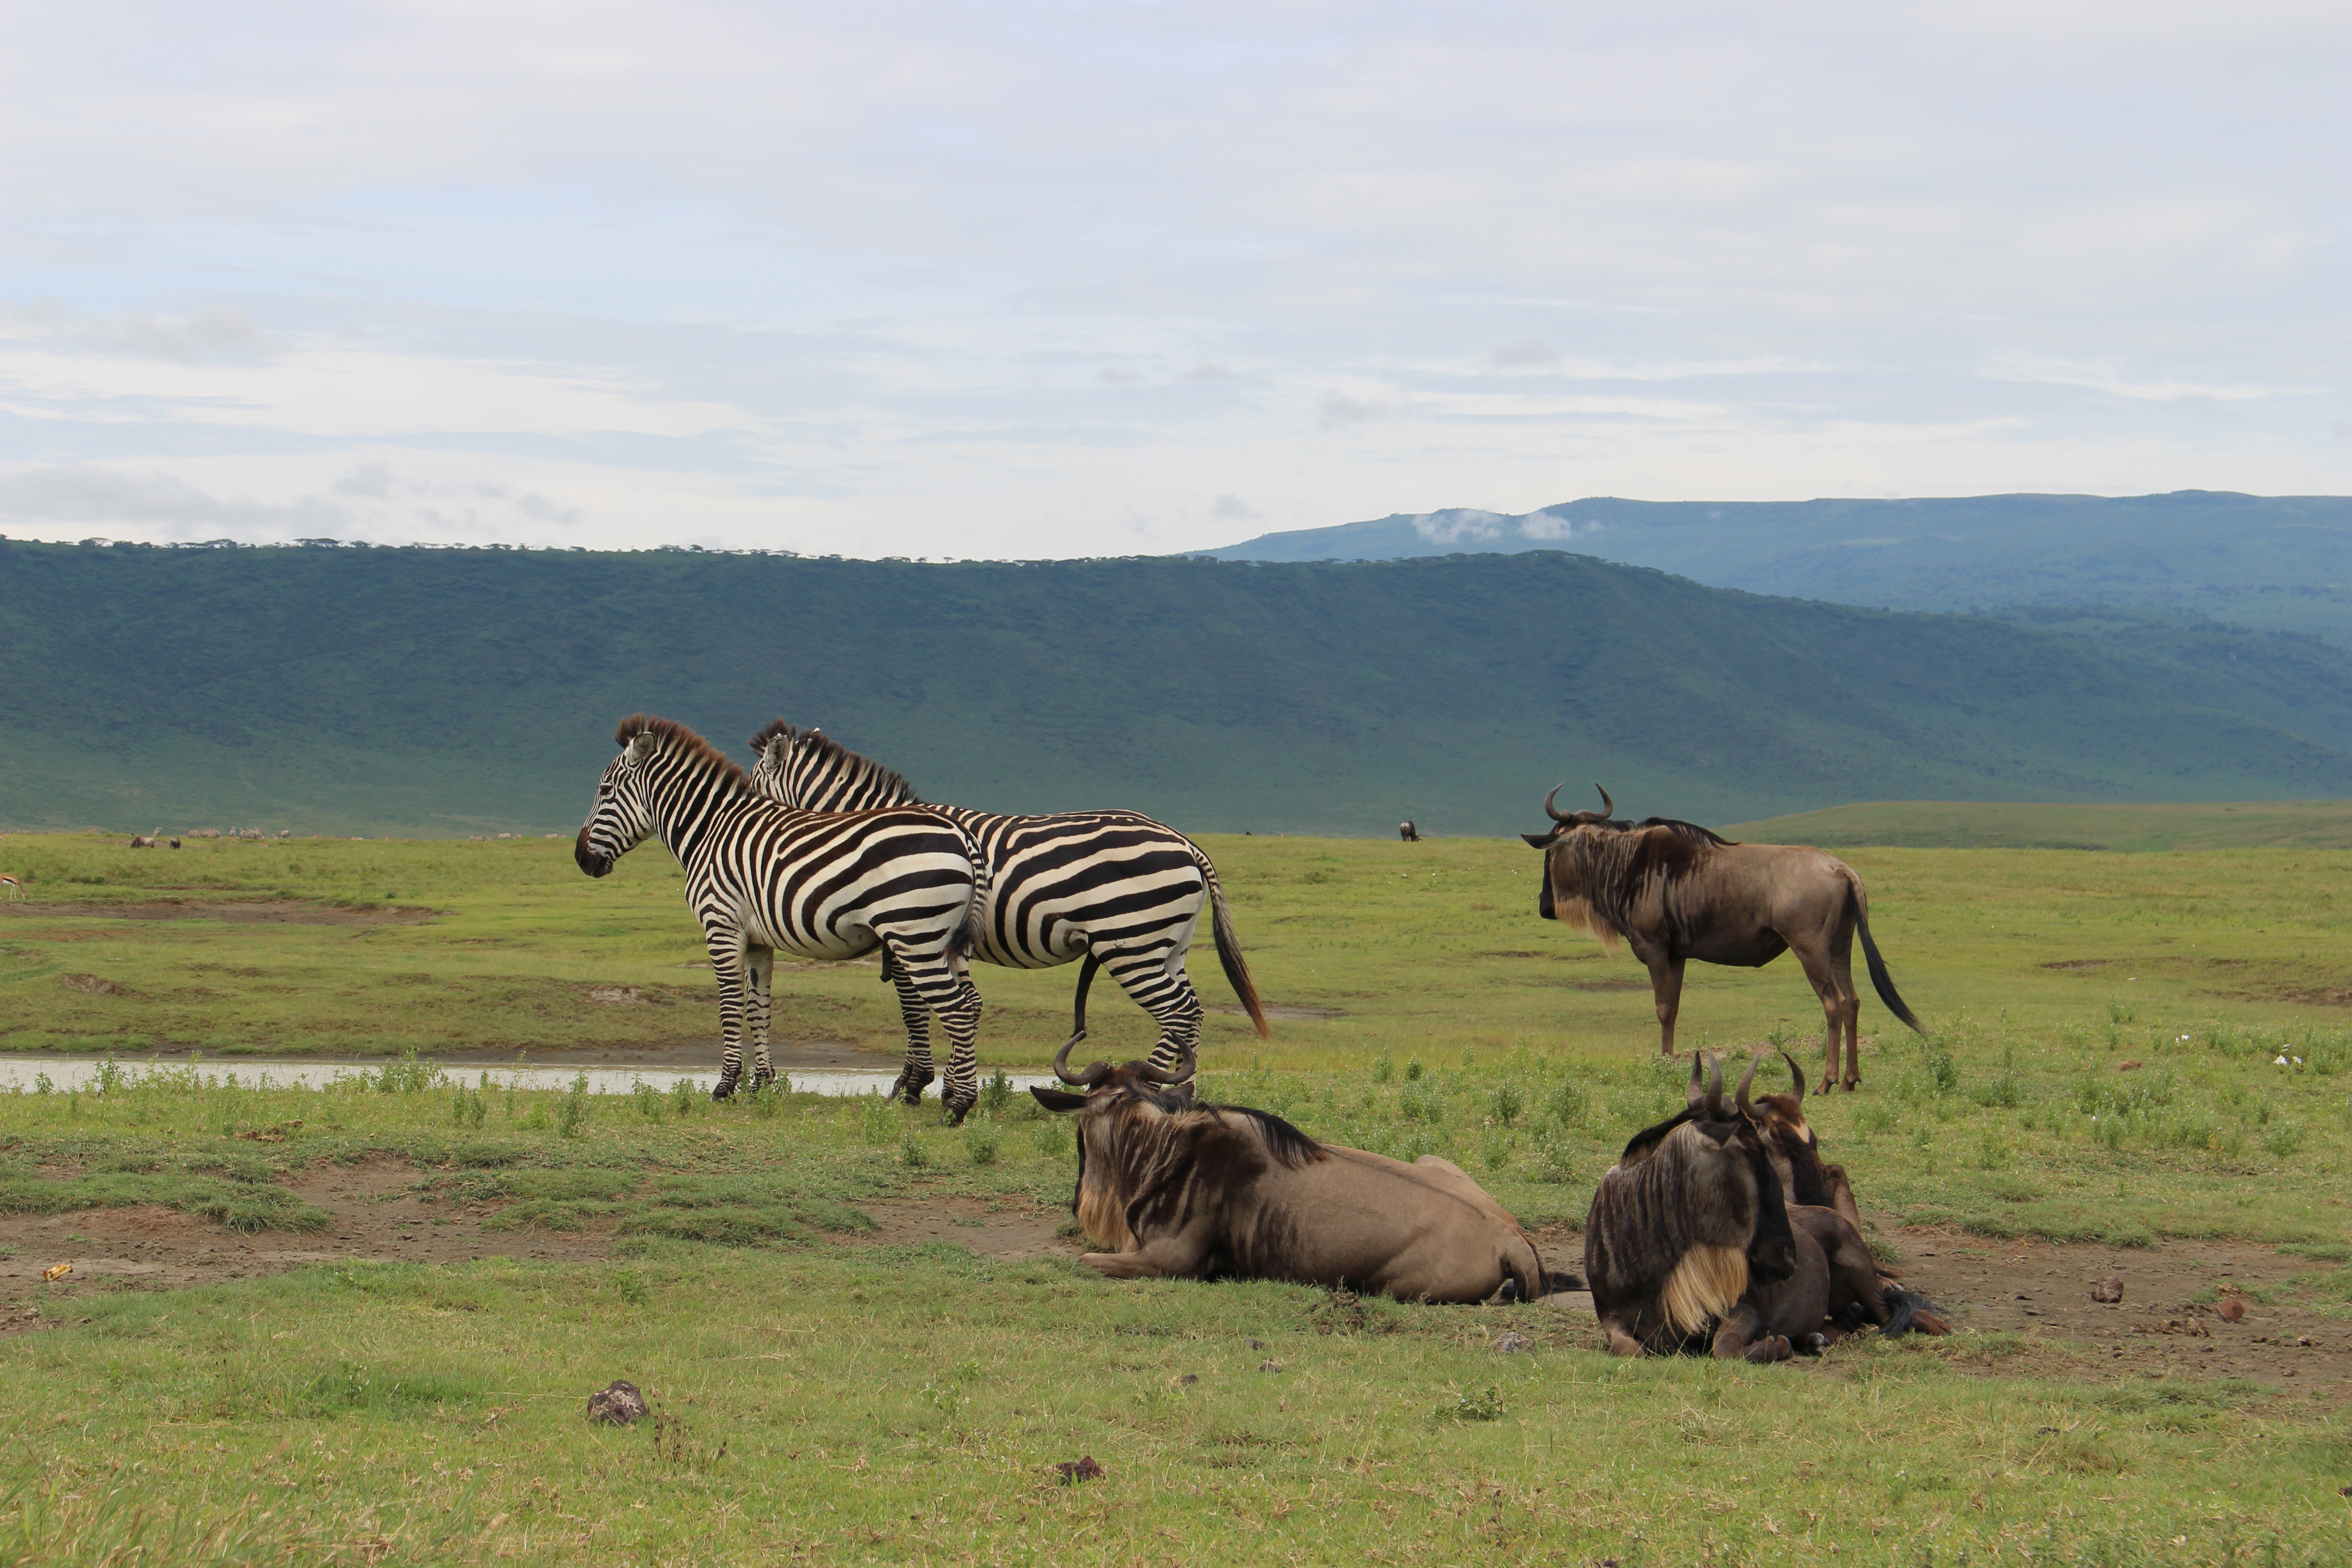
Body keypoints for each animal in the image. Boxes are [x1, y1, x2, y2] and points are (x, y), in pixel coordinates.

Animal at [581, 719, 1002, 1123]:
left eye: (604, 790)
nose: (581, 859)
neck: (710, 832)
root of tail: (962, 835)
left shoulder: (722, 926)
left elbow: (729, 1007)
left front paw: (725, 1087)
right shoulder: (757, 941)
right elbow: (758, 1010)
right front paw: (761, 1085)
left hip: (915, 937)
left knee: (957, 1010)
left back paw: (957, 1107)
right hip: (944, 942)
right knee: (970, 1005)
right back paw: (954, 1095)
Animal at [748, 719, 1270, 1100]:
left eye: (751, 790)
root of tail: (1185, 842)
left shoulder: (907, 933)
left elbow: (914, 1008)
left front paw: (912, 1085)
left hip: (1132, 943)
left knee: (1178, 1012)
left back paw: (1156, 1089)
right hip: (1169, 944)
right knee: (1192, 1012)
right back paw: (1184, 1093)